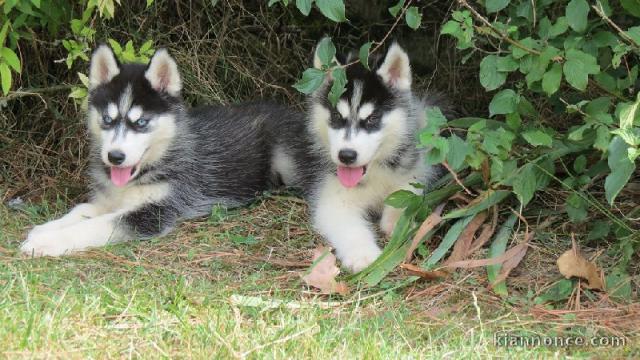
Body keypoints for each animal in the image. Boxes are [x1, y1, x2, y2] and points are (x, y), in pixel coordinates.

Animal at [20, 45, 300, 256]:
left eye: (141, 122)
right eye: (107, 120)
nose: (115, 157)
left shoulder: (155, 211)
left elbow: (96, 225)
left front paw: (45, 242)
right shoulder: (109, 199)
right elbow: (82, 210)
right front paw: (46, 228)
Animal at [276, 42, 444, 272]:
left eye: (372, 118)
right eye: (336, 116)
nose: (346, 155)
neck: (373, 172)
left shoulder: (414, 168)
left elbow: (406, 193)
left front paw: (399, 223)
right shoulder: (332, 199)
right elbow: (349, 228)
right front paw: (362, 255)